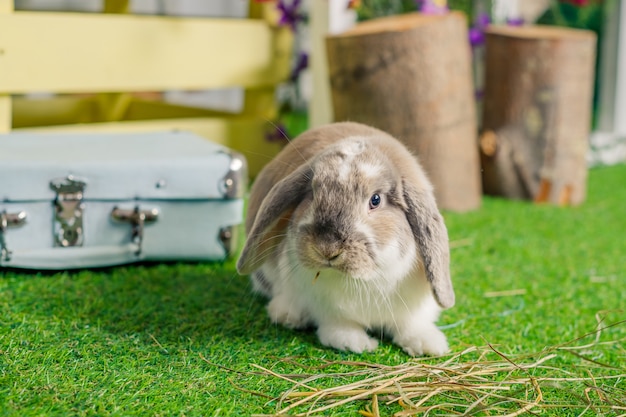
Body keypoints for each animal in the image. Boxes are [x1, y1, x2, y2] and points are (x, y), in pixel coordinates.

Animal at [235, 122, 454, 356]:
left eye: (375, 200)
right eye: (312, 193)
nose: (327, 248)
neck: (363, 281)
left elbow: (411, 325)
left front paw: (430, 345)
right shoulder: (329, 309)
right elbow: (339, 327)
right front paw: (358, 343)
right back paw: (288, 315)